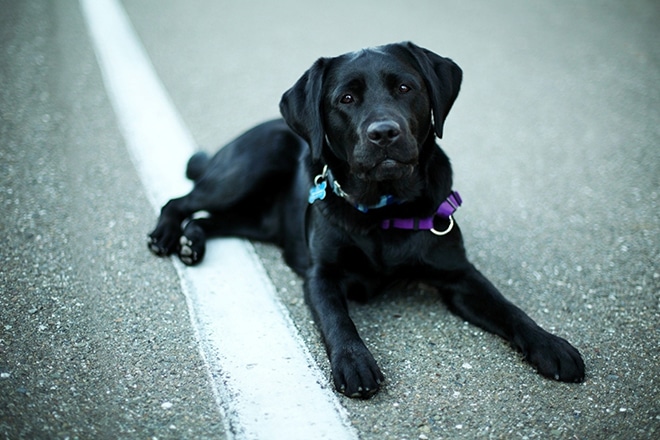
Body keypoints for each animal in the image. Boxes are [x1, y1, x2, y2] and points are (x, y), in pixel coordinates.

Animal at [148, 42, 584, 398]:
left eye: (405, 88)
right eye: (346, 98)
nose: (384, 133)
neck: (384, 210)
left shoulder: (460, 275)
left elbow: (508, 307)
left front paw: (550, 345)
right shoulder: (320, 275)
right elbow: (337, 319)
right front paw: (354, 363)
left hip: (258, 218)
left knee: (211, 219)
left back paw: (191, 242)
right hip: (250, 165)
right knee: (181, 201)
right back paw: (166, 236)